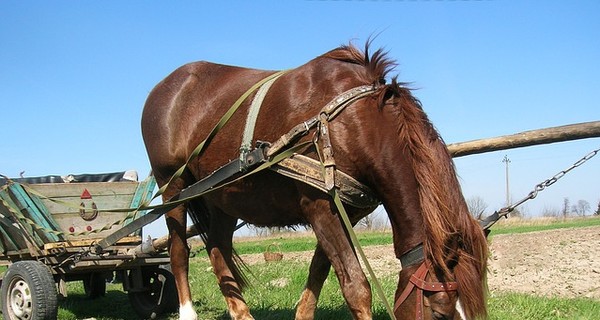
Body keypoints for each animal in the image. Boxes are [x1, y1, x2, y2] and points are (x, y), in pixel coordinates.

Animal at [143, 43, 490, 320]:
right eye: (440, 312)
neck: (347, 124)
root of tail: (165, 86)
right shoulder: (321, 207)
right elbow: (355, 286)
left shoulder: (345, 211)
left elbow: (319, 270)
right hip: (173, 187)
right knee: (179, 251)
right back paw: (188, 311)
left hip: (222, 197)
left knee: (218, 248)